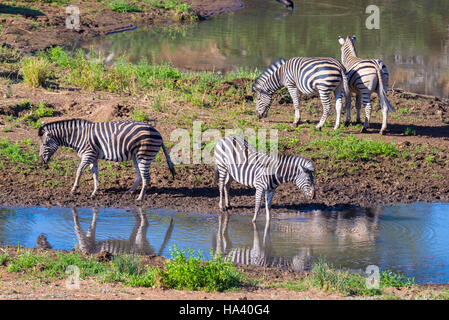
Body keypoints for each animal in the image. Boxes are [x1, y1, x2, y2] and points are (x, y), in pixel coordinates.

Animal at [38, 119, 175, 201]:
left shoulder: (88, 154)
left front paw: (73, 189)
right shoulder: (93, 157)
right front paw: (95, 192)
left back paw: (140, 198)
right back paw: (128, 192)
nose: (41, 161)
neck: (79, 136)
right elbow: (95, 174)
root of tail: (158, 133)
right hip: (136, 157)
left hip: (144, 156)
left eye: (44, 144)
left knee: (146, 178)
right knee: (139, 176)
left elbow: (78, 172)